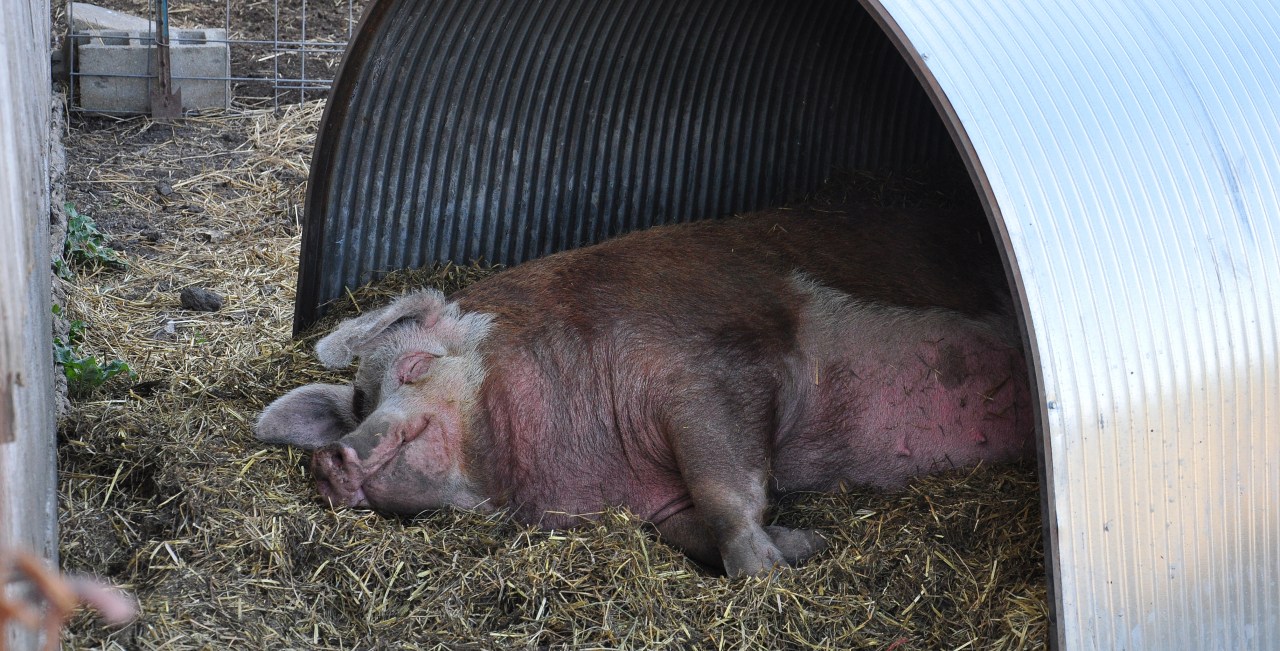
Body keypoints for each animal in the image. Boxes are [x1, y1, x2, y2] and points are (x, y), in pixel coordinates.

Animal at [256, 207, 1034, 576]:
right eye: (355, 406)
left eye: (413, 368)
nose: (328, 458)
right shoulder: (658, 504)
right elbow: (694, 527)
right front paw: (807, 544)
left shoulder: (715, 370)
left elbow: (727, 496)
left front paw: (769, 573)